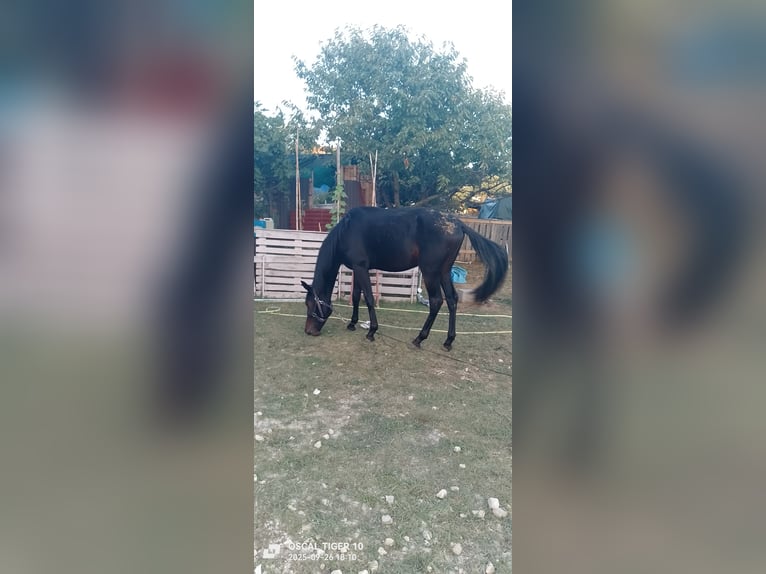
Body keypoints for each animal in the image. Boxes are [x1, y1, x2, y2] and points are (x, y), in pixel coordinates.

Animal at [301, 207, 509, 350]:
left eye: (310, 304)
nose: (308, 331)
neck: (346, 231)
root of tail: (457, 223)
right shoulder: (358, 269)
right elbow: (355, 296)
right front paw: (352, 323)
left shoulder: (360, 268)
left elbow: (368, 298)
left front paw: (372, 331)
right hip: (443, 272)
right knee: (452, 299)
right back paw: (448, 340)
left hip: (430, 272)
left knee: (436, 301)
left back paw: (419, 338)